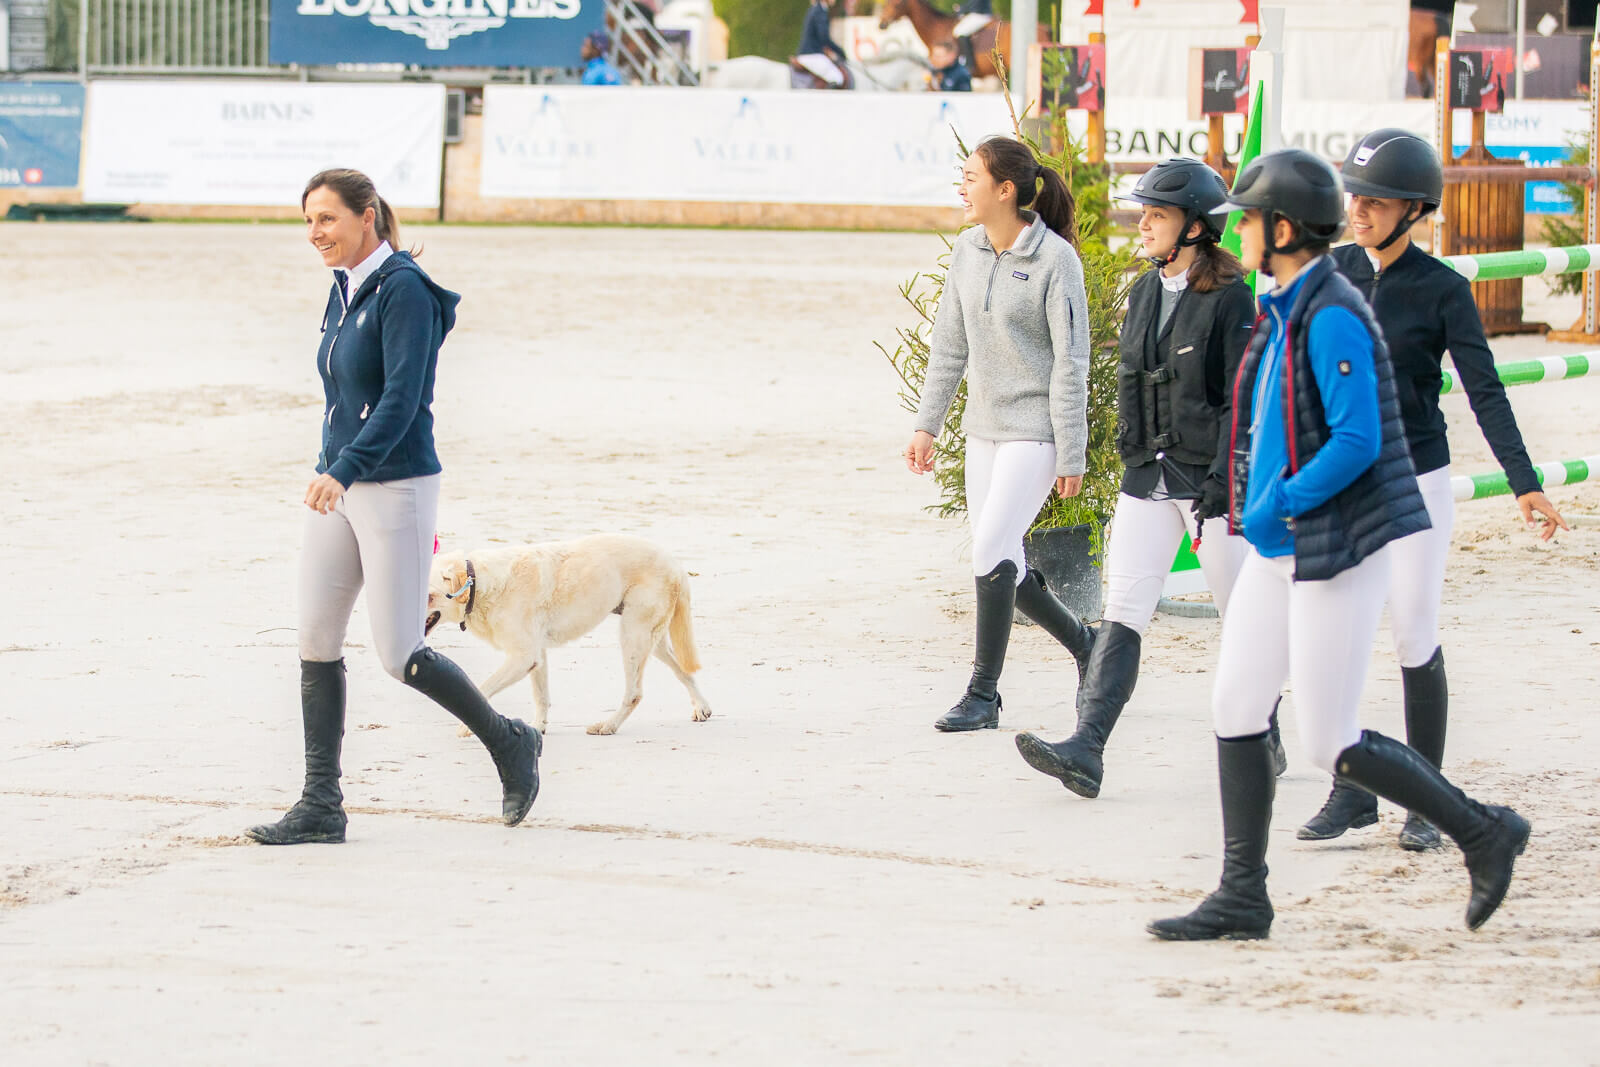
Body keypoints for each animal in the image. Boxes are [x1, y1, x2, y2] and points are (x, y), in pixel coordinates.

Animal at [432, 534, 720, 735]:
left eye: (430, 596)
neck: (480, 584)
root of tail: (676, 564)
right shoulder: (536, 656)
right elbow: (541, 696)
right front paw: (538, 727)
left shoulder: (523, 657)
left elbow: (482, 689)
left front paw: (469, 726)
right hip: (651, 638)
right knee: (682, 670)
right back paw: (702, 707)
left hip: (633, 635)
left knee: (635, 693)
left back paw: (608, 725)